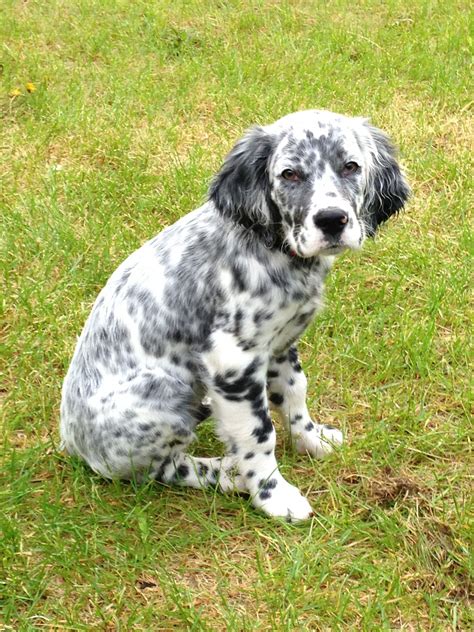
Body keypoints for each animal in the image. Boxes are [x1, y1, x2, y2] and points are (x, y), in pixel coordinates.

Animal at [61, 108, 410, 520]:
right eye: (289, 174)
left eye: (351, 166)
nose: (332, 220)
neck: (274, 250)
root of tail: (72, 444)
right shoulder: (232, 361)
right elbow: (258, 433)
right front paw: (274, 494)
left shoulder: (280, 344)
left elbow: (295, 393)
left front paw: (312, 440)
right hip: (162, 394)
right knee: (162, 470)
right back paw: (230, 474)